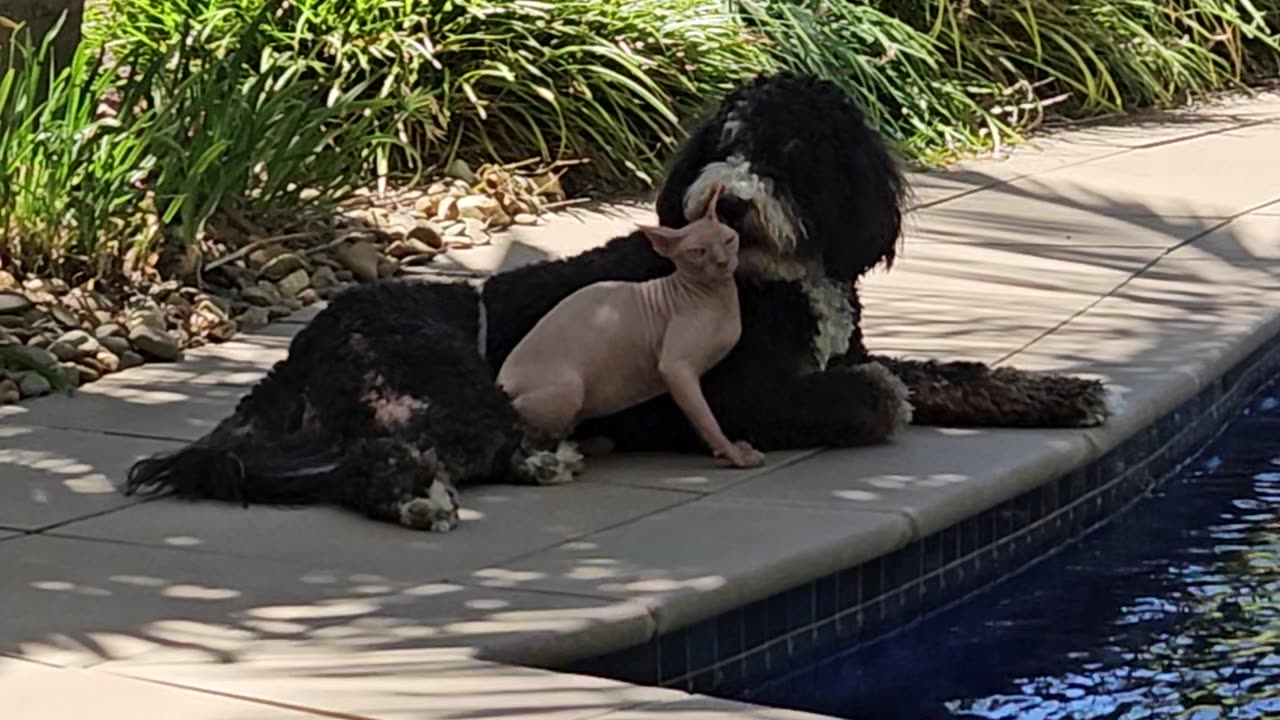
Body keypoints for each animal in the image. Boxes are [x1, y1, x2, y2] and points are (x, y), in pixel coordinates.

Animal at [496, 184, 757, 466]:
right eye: (697, 252)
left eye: (729, 240)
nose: (723, 262)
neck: (716, 296)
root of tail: (500, 383)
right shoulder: (675, 368)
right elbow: (706, 418)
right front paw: (734, 454)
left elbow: (700, 419)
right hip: (568, 389)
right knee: (523, 445)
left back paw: (589, 446)